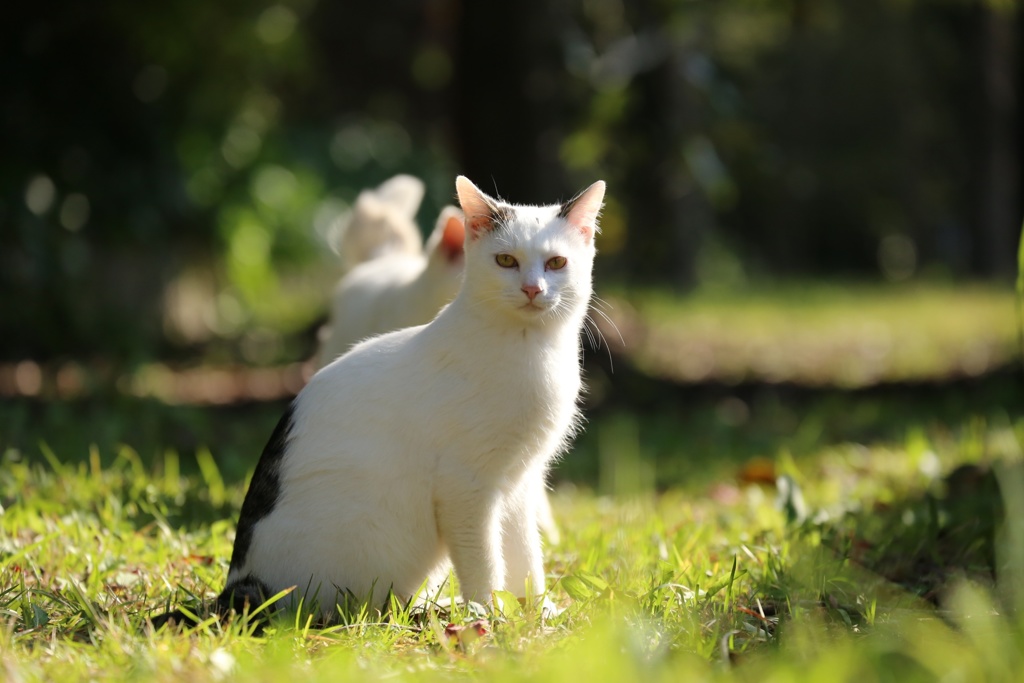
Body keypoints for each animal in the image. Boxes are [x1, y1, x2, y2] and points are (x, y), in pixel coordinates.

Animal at [216, 175, 598, 618]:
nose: (532, 288)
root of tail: (240, 582)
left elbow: (526, 554)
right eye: (506, 261)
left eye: (556, 263)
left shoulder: (519, 480)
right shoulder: (465, 486)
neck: (530, 348)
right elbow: (483, 560)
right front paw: (489, 613)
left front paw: (535, 611)